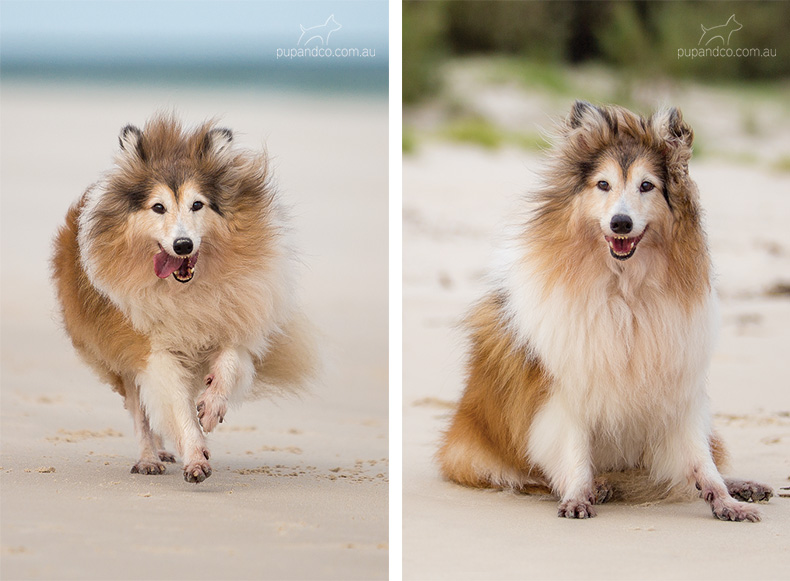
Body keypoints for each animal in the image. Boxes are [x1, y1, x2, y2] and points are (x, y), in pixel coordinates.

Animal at [48, 115, 316, 482]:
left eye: (197, 204)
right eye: (158, 207)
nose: (183, 245)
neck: (186, 291)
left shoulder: (233, 318)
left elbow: (229, 362)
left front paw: (212, 407)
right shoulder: (150, 348)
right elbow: (175, 407)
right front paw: (196, 457)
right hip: (119, 356)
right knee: (141, 413)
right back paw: (149, 458)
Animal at [442, 101, 776, 520]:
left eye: (647, 185)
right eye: (603, 185)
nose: (620, 223)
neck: (624, 291)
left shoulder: (678, 393)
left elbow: (701, 463)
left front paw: (727, 501)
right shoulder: (565, 393)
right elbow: (573, 453)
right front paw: (578, 495)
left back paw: (745, 486)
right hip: (473, 456)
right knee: (529, 477)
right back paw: (598, 486)